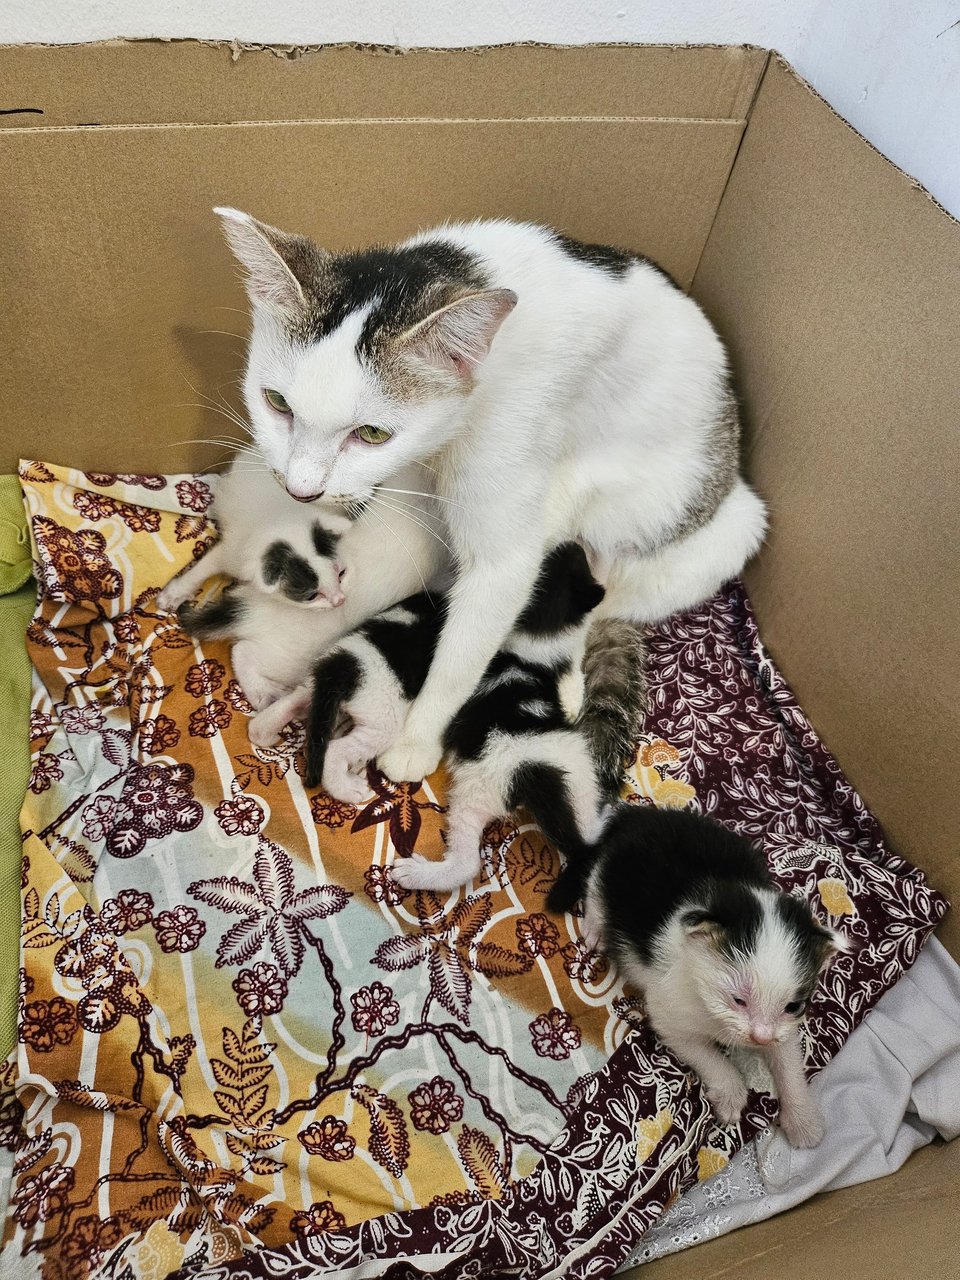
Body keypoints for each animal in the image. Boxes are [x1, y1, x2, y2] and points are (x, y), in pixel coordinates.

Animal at [216, 209, 768, 778]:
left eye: (371, 434)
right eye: (276, 402)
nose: (301, 489)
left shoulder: (506, 542)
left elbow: (464, 650)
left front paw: (414, 743)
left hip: (721, 531)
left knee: (597, 610)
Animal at [547, 803, 849, 1146]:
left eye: (793, 1006)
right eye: (738, 1000)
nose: (759, 1037)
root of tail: (641, 814)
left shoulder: (782, 1029)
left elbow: (788, 1061)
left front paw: (803, 1119)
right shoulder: (670, 1010)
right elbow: (705, 1053)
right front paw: (731, 1094)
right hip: (610, 876)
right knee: (595, 890)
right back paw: (596, 930)